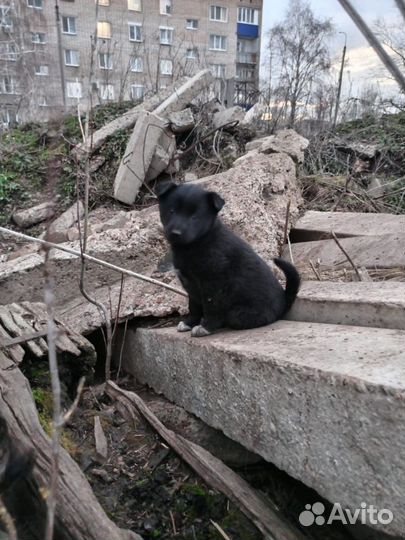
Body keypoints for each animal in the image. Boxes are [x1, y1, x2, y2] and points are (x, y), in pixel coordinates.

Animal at [158, 181, 300, 338]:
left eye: (195, 216)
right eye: (172, 211)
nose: (175, 233)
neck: (198, 243)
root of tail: (284, 302)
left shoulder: (214, 285)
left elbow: (211, 307)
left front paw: (205, 327)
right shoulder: (191, 285)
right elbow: (193, 306)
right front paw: (189, 323)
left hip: (238, 314)